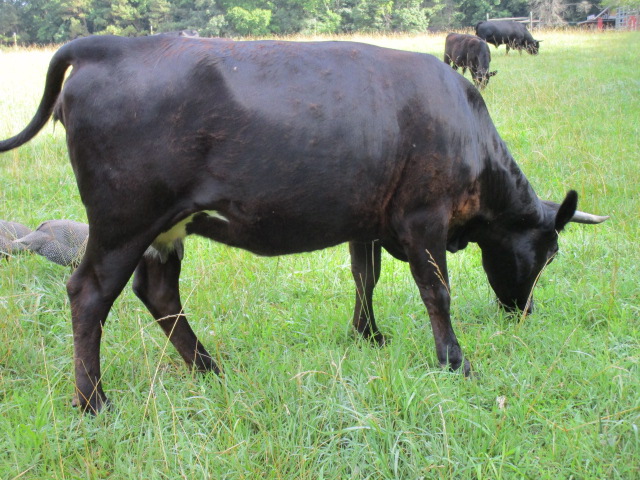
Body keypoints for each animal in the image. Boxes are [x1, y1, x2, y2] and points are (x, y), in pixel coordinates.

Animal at [0, 35, 607, 414]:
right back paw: (93, 402)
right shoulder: (423, 217)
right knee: (89, 294)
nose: (524, 312)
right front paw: (454, 361)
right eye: (550, 253)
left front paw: (368, 335)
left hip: (161, 229)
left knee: (158, 292)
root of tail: (106, 45)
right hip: (124, 221)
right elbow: (436, 291)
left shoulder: (369, 219)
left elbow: (366, 277)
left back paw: (207, 368)